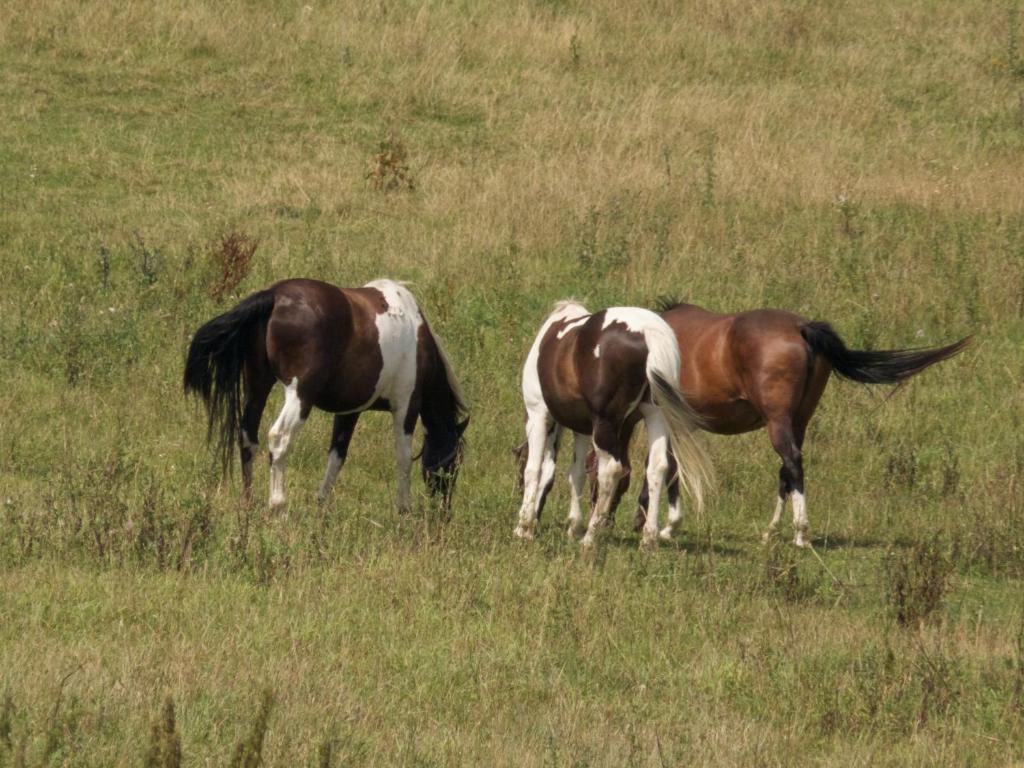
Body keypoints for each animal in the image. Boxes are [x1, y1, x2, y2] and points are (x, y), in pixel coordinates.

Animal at [184, 278, 468, 518]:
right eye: (453, 463)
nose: (444, 512)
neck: (416, 332)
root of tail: (274, 296)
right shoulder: (406, 406)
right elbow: (404, 458)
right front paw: (404, 510)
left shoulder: (349, 411)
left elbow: (337, 456)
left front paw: (321, 503)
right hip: (300, 396)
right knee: (279, 438)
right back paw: (278, 506)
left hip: (257, 387)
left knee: (248, 438)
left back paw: (248, 502)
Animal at [512, 303, 712, 548]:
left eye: (518, 466)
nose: (517, 490)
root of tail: (648, 333)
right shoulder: (581, 429)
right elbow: (576, 473)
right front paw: (573, 526)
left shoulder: (538, 415)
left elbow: (536, 469)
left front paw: (524, 527)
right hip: (656, 416)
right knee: (658, 467)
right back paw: (648, 538)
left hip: (605, 424)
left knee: (610, 471)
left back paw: (591, 537)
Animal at [630, 301, 966, 548]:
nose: (635, 521)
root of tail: (802, 328)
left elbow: (666, 466)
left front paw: (663, 524)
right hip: (798, 420)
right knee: (787, 471)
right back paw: (772, 530)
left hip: (778, 422)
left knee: (792, 463)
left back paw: (800, 533)